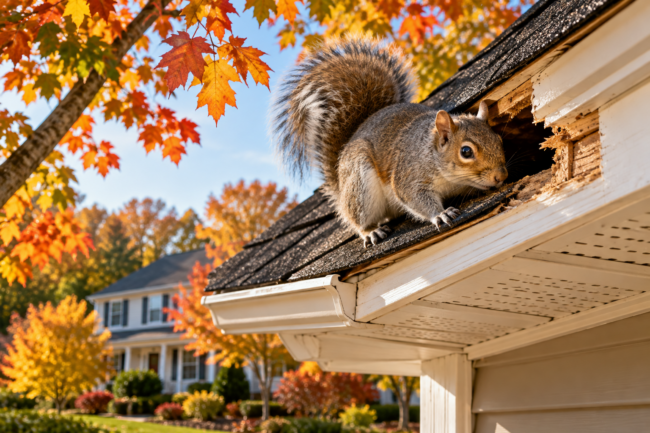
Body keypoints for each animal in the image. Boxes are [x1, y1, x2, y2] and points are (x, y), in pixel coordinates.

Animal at [271, 36, 508, 248]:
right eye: (466, 152)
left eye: (498, 139)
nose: (501, 176)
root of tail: (340, 183)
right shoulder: (409, 175)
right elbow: (414, 197)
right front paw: (441, 214)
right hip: (360, 184)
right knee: (356, 219)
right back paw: (370, 231)